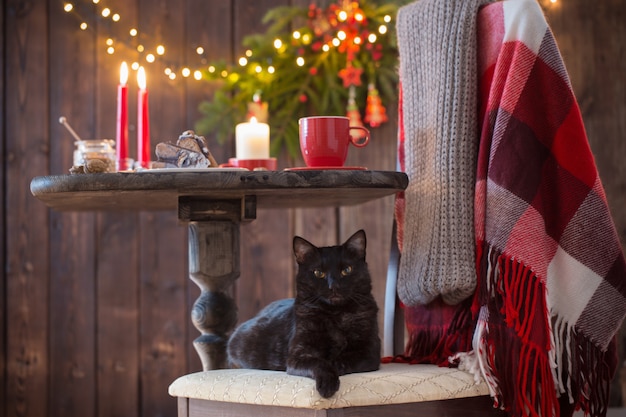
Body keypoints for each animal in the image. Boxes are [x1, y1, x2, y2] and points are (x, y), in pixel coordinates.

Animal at [227, 231, 378, 396]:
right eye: (318, 273)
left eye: (347, 270)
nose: (333, 286)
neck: (335, 314)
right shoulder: (299, 354)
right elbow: (318, 362)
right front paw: (327, 384)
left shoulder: (369, 352)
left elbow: (341, 360)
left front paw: (333, 369)